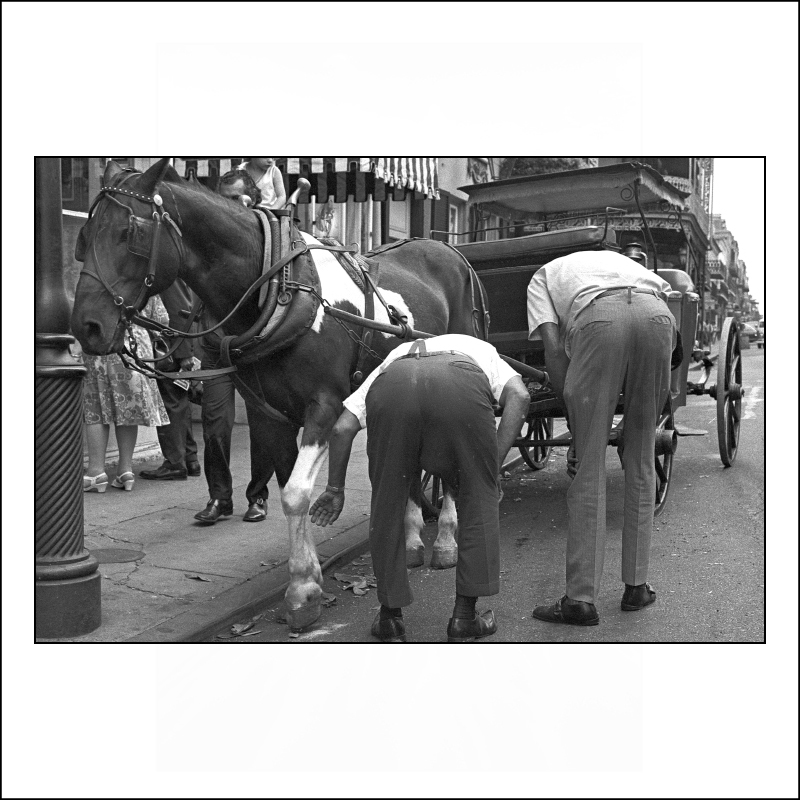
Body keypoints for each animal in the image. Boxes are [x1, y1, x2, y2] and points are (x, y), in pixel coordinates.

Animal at [70, 157, 490, 631]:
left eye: (131, 232)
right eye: (85, 235)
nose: (86, 326)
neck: (277, 288)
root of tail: (450, 251)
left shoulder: (324, 405)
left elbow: (294, 494)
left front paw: (302, 590)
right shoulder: (269, 413)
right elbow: (294, 490)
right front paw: (307, 584)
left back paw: (447, 540)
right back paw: (415, 536)